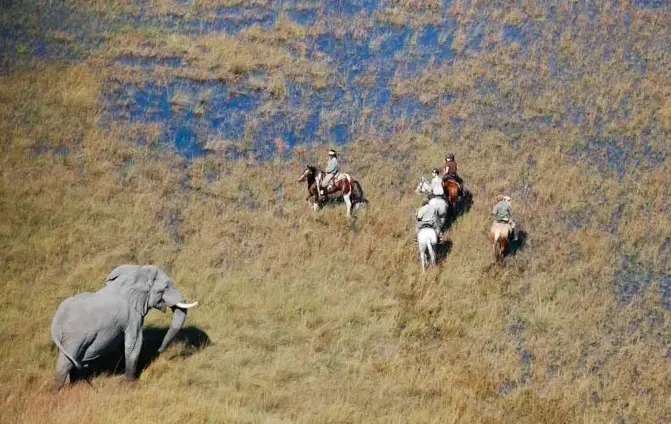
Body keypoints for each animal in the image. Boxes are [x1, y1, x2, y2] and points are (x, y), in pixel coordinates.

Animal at [51, 264, 198, 388]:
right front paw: (131, 383)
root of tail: (56, 319)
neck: (138, 270)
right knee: (66, 362)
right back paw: (60, 391)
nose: (160, 350)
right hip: (75, 335)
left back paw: (77, 386)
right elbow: (134, 343)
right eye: (166, 287)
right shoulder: (132, 315)